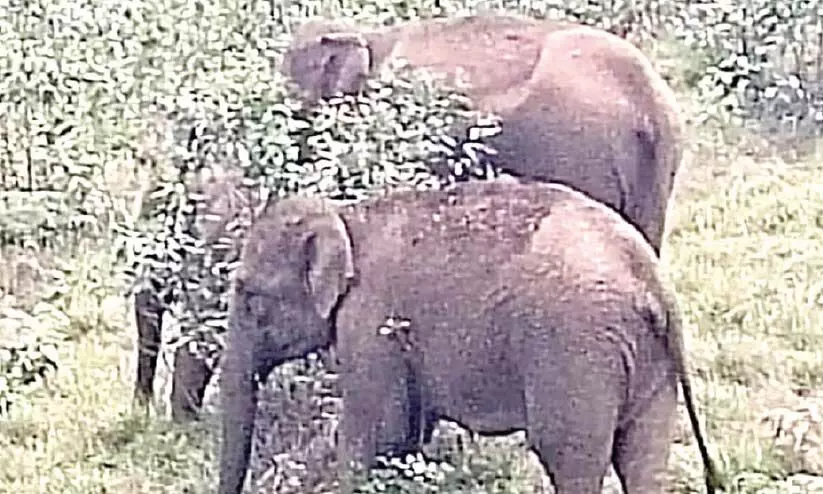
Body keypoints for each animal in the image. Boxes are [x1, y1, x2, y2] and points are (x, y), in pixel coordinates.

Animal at [217, 179, 722, 494]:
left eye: (250, 296)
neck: (348, 218)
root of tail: (650, 280)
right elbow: (407, 435)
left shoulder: (369, 323)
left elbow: (377, 434)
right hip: (647, 364)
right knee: (643, 457)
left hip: (577, 352)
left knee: (571, 458)